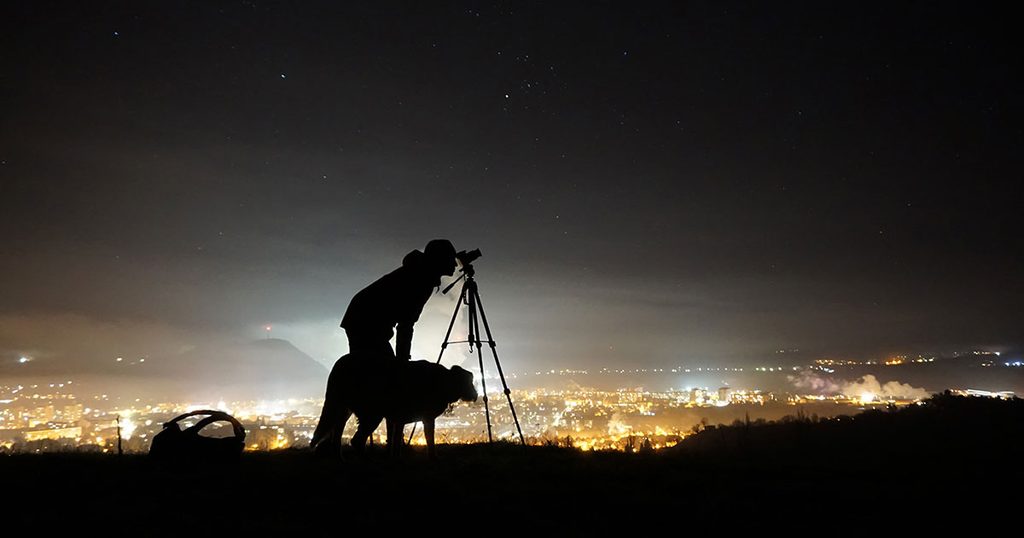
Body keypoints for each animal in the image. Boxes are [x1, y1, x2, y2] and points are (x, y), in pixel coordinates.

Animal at [309, 352, 477, 457]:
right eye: (470, 382)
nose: (476, 395)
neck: (445, 380)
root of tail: (339, 366)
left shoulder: (399, 419)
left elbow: (396, 441)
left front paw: (396, 457)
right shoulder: (427, 418)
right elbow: (430, 441)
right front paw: (433, 457)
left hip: (343, 409)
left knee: (337, 437)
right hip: (372, 414)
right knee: (356, 440)